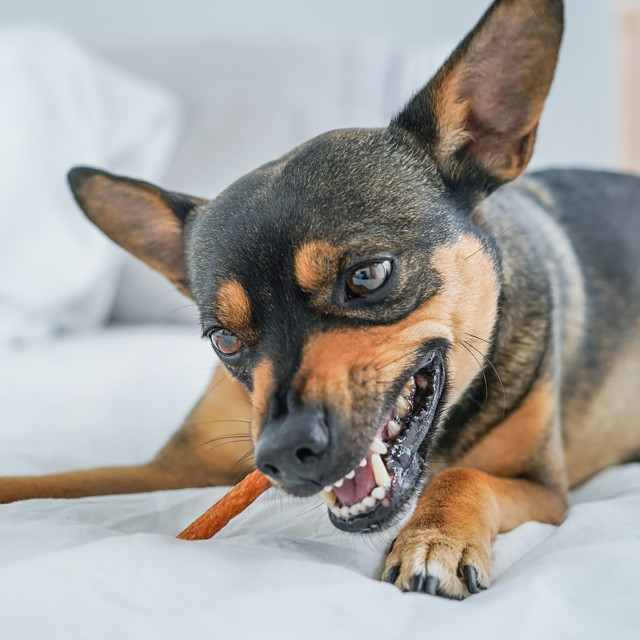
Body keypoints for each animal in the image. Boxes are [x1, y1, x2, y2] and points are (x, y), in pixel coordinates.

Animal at [1, 0, 640, 600]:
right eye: (224, 339)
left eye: (368, 277)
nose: (282, 455)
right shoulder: (171, 467)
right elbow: (49, 482)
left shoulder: (544, 488)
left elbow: (462, 476)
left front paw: (435, 539)